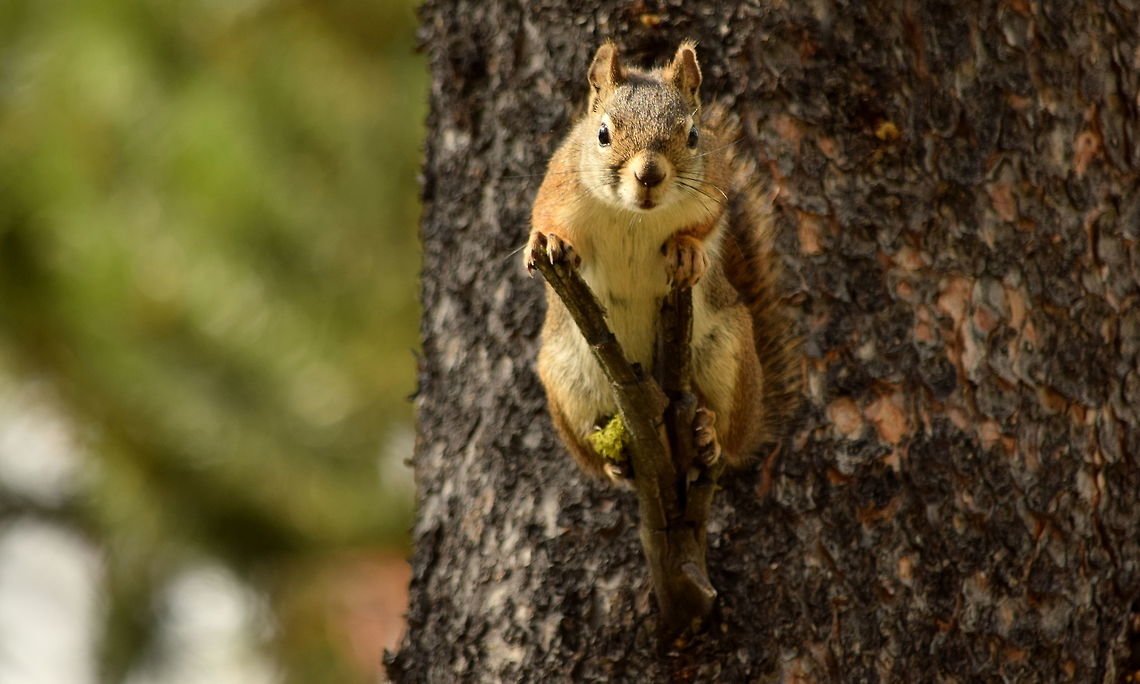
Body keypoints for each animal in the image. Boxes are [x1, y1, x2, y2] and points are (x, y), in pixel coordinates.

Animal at [526, 40, 799, 482]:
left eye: (692, 135)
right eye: (602, 134)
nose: (649, 175)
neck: (635, 216)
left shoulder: (714, 185)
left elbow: (707, 224)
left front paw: (687, 249)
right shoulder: (559, 187)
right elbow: (547, 219)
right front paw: (548, 240)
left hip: (728, 354)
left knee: (728, 439)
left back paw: (710, 437)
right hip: (566, 382)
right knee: (592, 448)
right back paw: (614, 463)